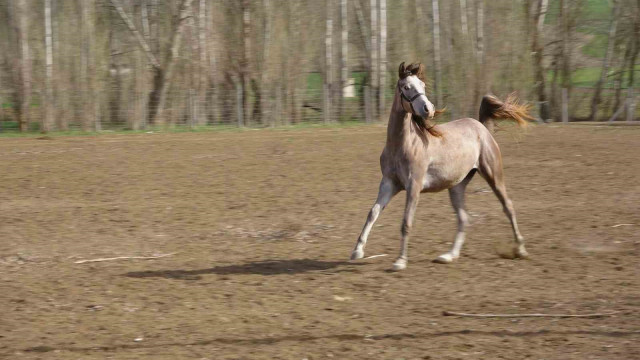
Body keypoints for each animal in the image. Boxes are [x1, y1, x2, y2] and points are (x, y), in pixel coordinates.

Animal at [350, 62, 528, 270]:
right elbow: (373, 213)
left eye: (422, 85)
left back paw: (521, 250)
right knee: (463, 218)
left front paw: (400, 261)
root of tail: (482, 128)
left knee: (508, 206)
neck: (403, 145)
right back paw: (449, 256)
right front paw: (357, 251)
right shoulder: (389, 184)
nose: (428, 109)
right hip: (457, 186)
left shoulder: (414, 186)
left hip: (493, 175)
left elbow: (406, 222)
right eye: (406, 87)